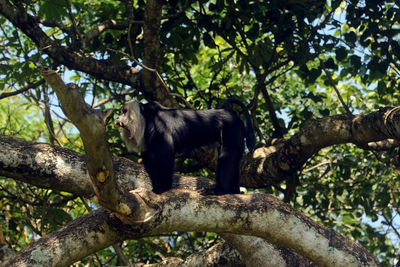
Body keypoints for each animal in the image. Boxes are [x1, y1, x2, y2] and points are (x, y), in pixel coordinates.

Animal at [115, 99, 255, 195]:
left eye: (125, 112)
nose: (118, 118)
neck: (147, 118)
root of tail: (230, 113)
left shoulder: (160, 130)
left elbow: (164, 160)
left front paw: (162, 188)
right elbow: (151, 165)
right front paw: (155, 188)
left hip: (231, 129)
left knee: (228, 154)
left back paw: (219, 191)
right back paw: (233, 191)